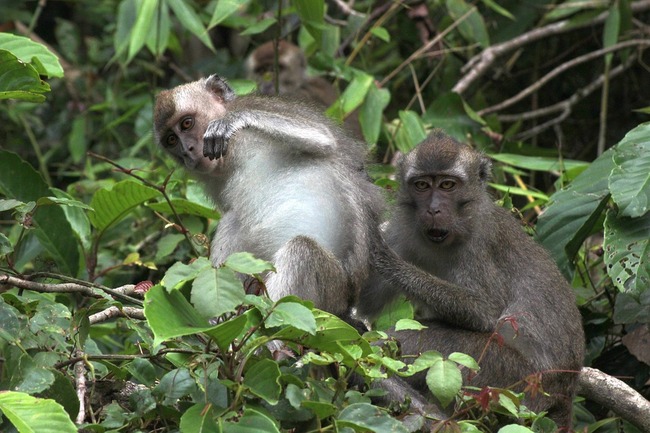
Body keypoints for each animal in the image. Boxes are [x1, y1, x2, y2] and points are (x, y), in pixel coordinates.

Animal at [356, 130, 584, 426]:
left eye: (447, 185)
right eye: (422, 185)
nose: (433, 209)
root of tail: (565, 391)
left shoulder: (480, 244)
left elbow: (485, 311)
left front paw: (385, 258)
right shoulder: (400, 231)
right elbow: (365, 301)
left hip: (511, 381)